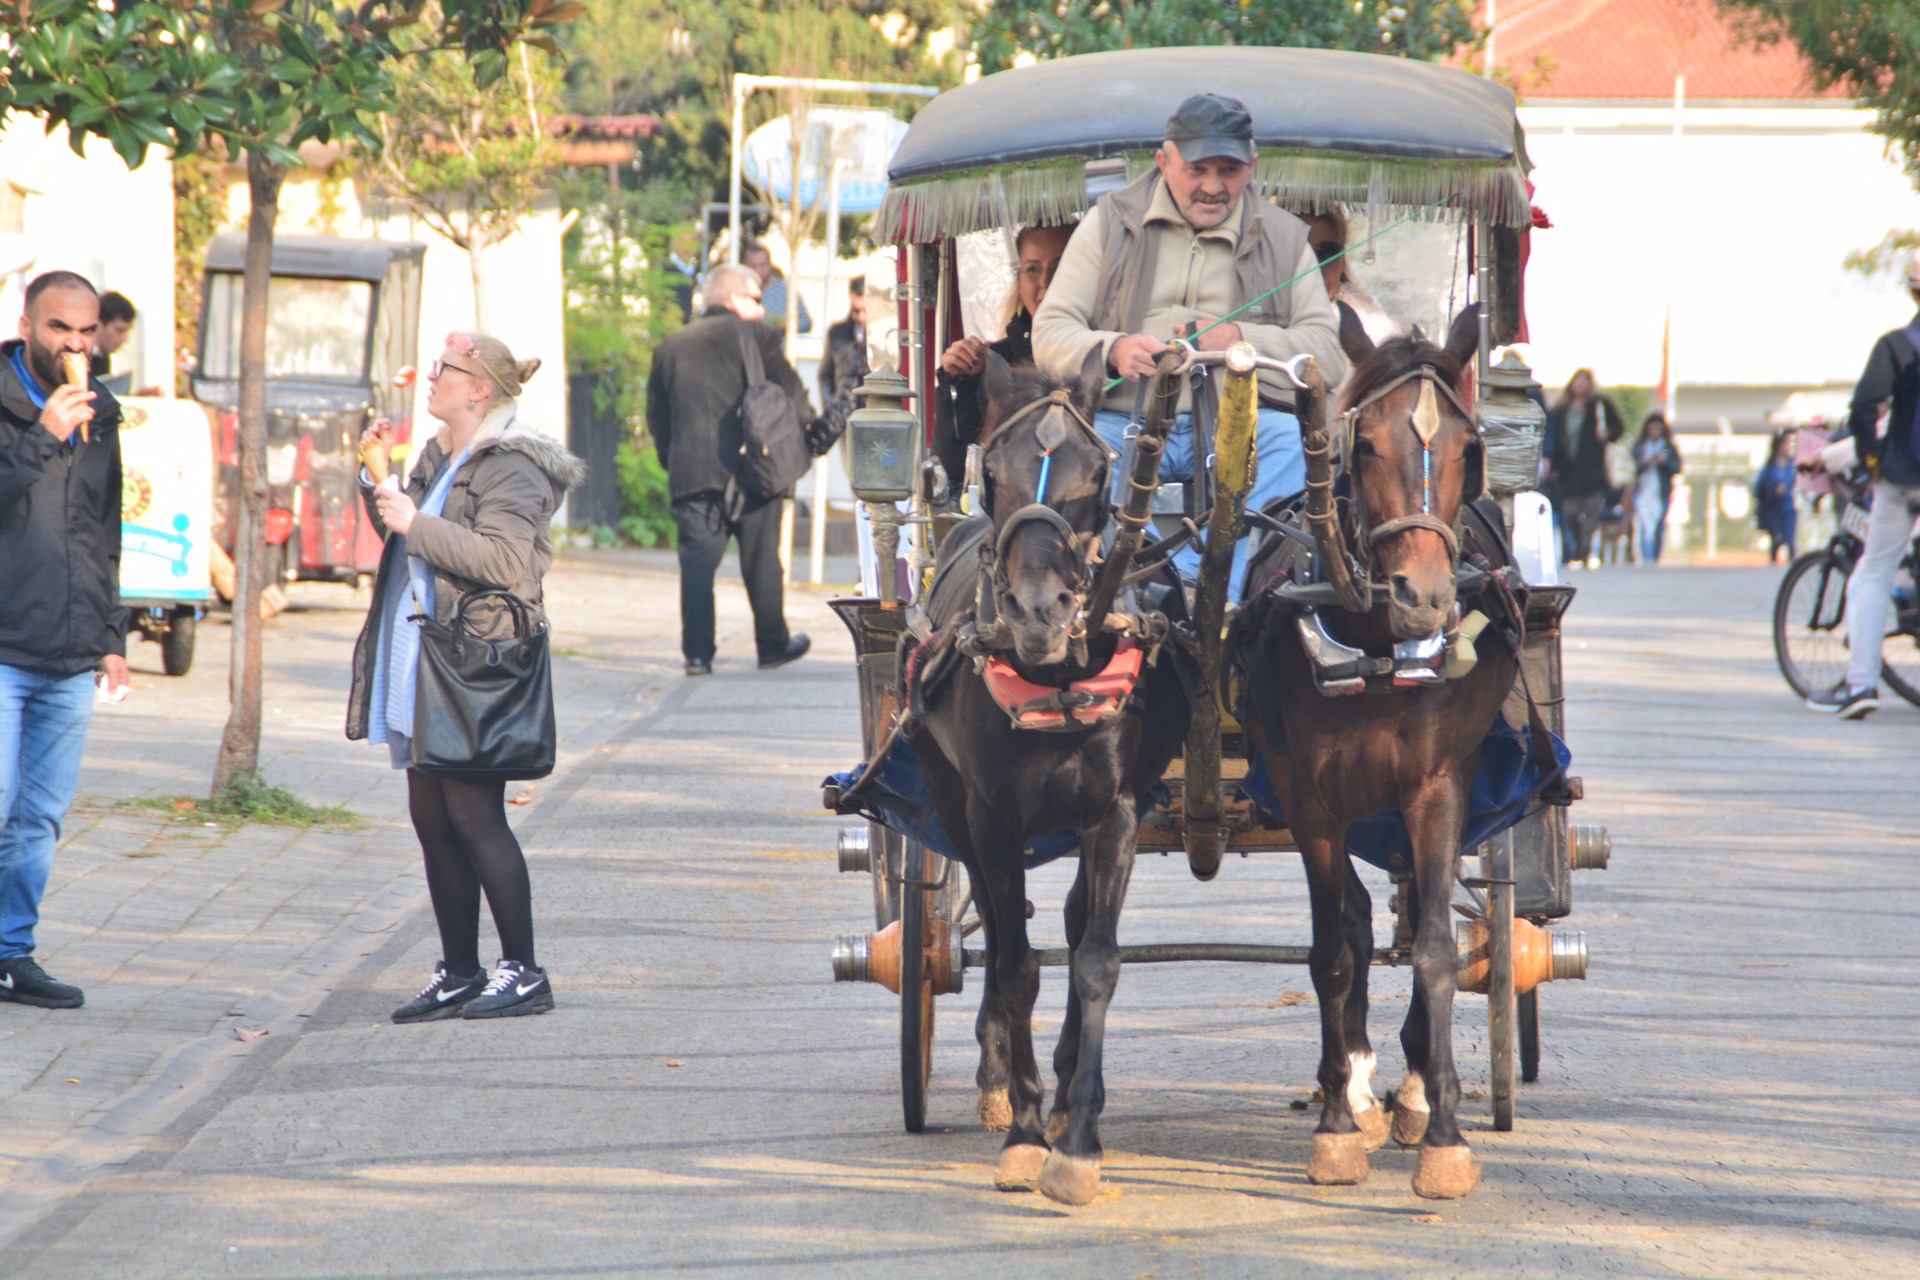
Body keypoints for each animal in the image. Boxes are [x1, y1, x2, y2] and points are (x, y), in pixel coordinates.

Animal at [906, 347, 1190, 1205]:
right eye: (992, 471)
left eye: (1097, 472)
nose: (1040, 612)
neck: (1055, 673)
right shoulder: (992, 819)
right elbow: (1016, 966)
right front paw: (1028, 1133)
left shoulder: (1118, 811)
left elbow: (1094, 961)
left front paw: (1077, 1138)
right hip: (950, 804)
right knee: (1001, 937)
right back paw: (1001, 1077)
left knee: (1065, 920)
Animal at [1228, 333, 1512, 1205]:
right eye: (1365, 445)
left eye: (1469, 449)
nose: (1424, 597)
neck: (1375, 642)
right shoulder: (1307, 798)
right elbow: (1332, 950)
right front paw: (1335, 1125)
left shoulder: (1438, 786)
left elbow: (1434, 947)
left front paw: (1445, 1134)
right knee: (1353, 922)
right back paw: (1353, 1091)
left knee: (1416, 909)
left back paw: (1413, 1093)